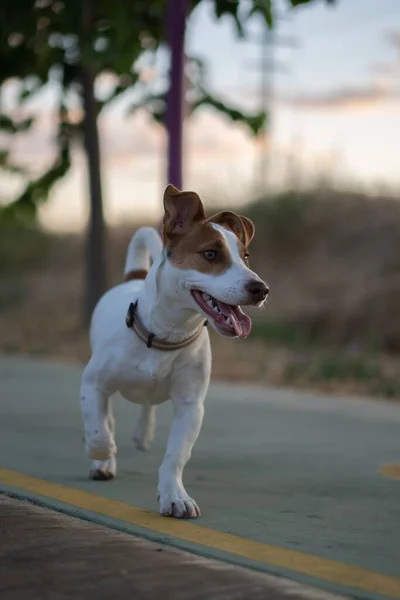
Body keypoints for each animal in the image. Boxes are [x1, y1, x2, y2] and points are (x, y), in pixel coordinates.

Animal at [80, 185, 268, 516]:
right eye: (211, 254)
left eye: (246, 256)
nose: (261, 289)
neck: (166, 334)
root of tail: (133, 278)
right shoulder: (92, 385)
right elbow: (99, 430)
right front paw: (102, 454)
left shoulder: (190, 406)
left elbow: (175, 457)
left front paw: (174, 496)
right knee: (107, 419)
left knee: (146, 406)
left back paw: (143, 432)